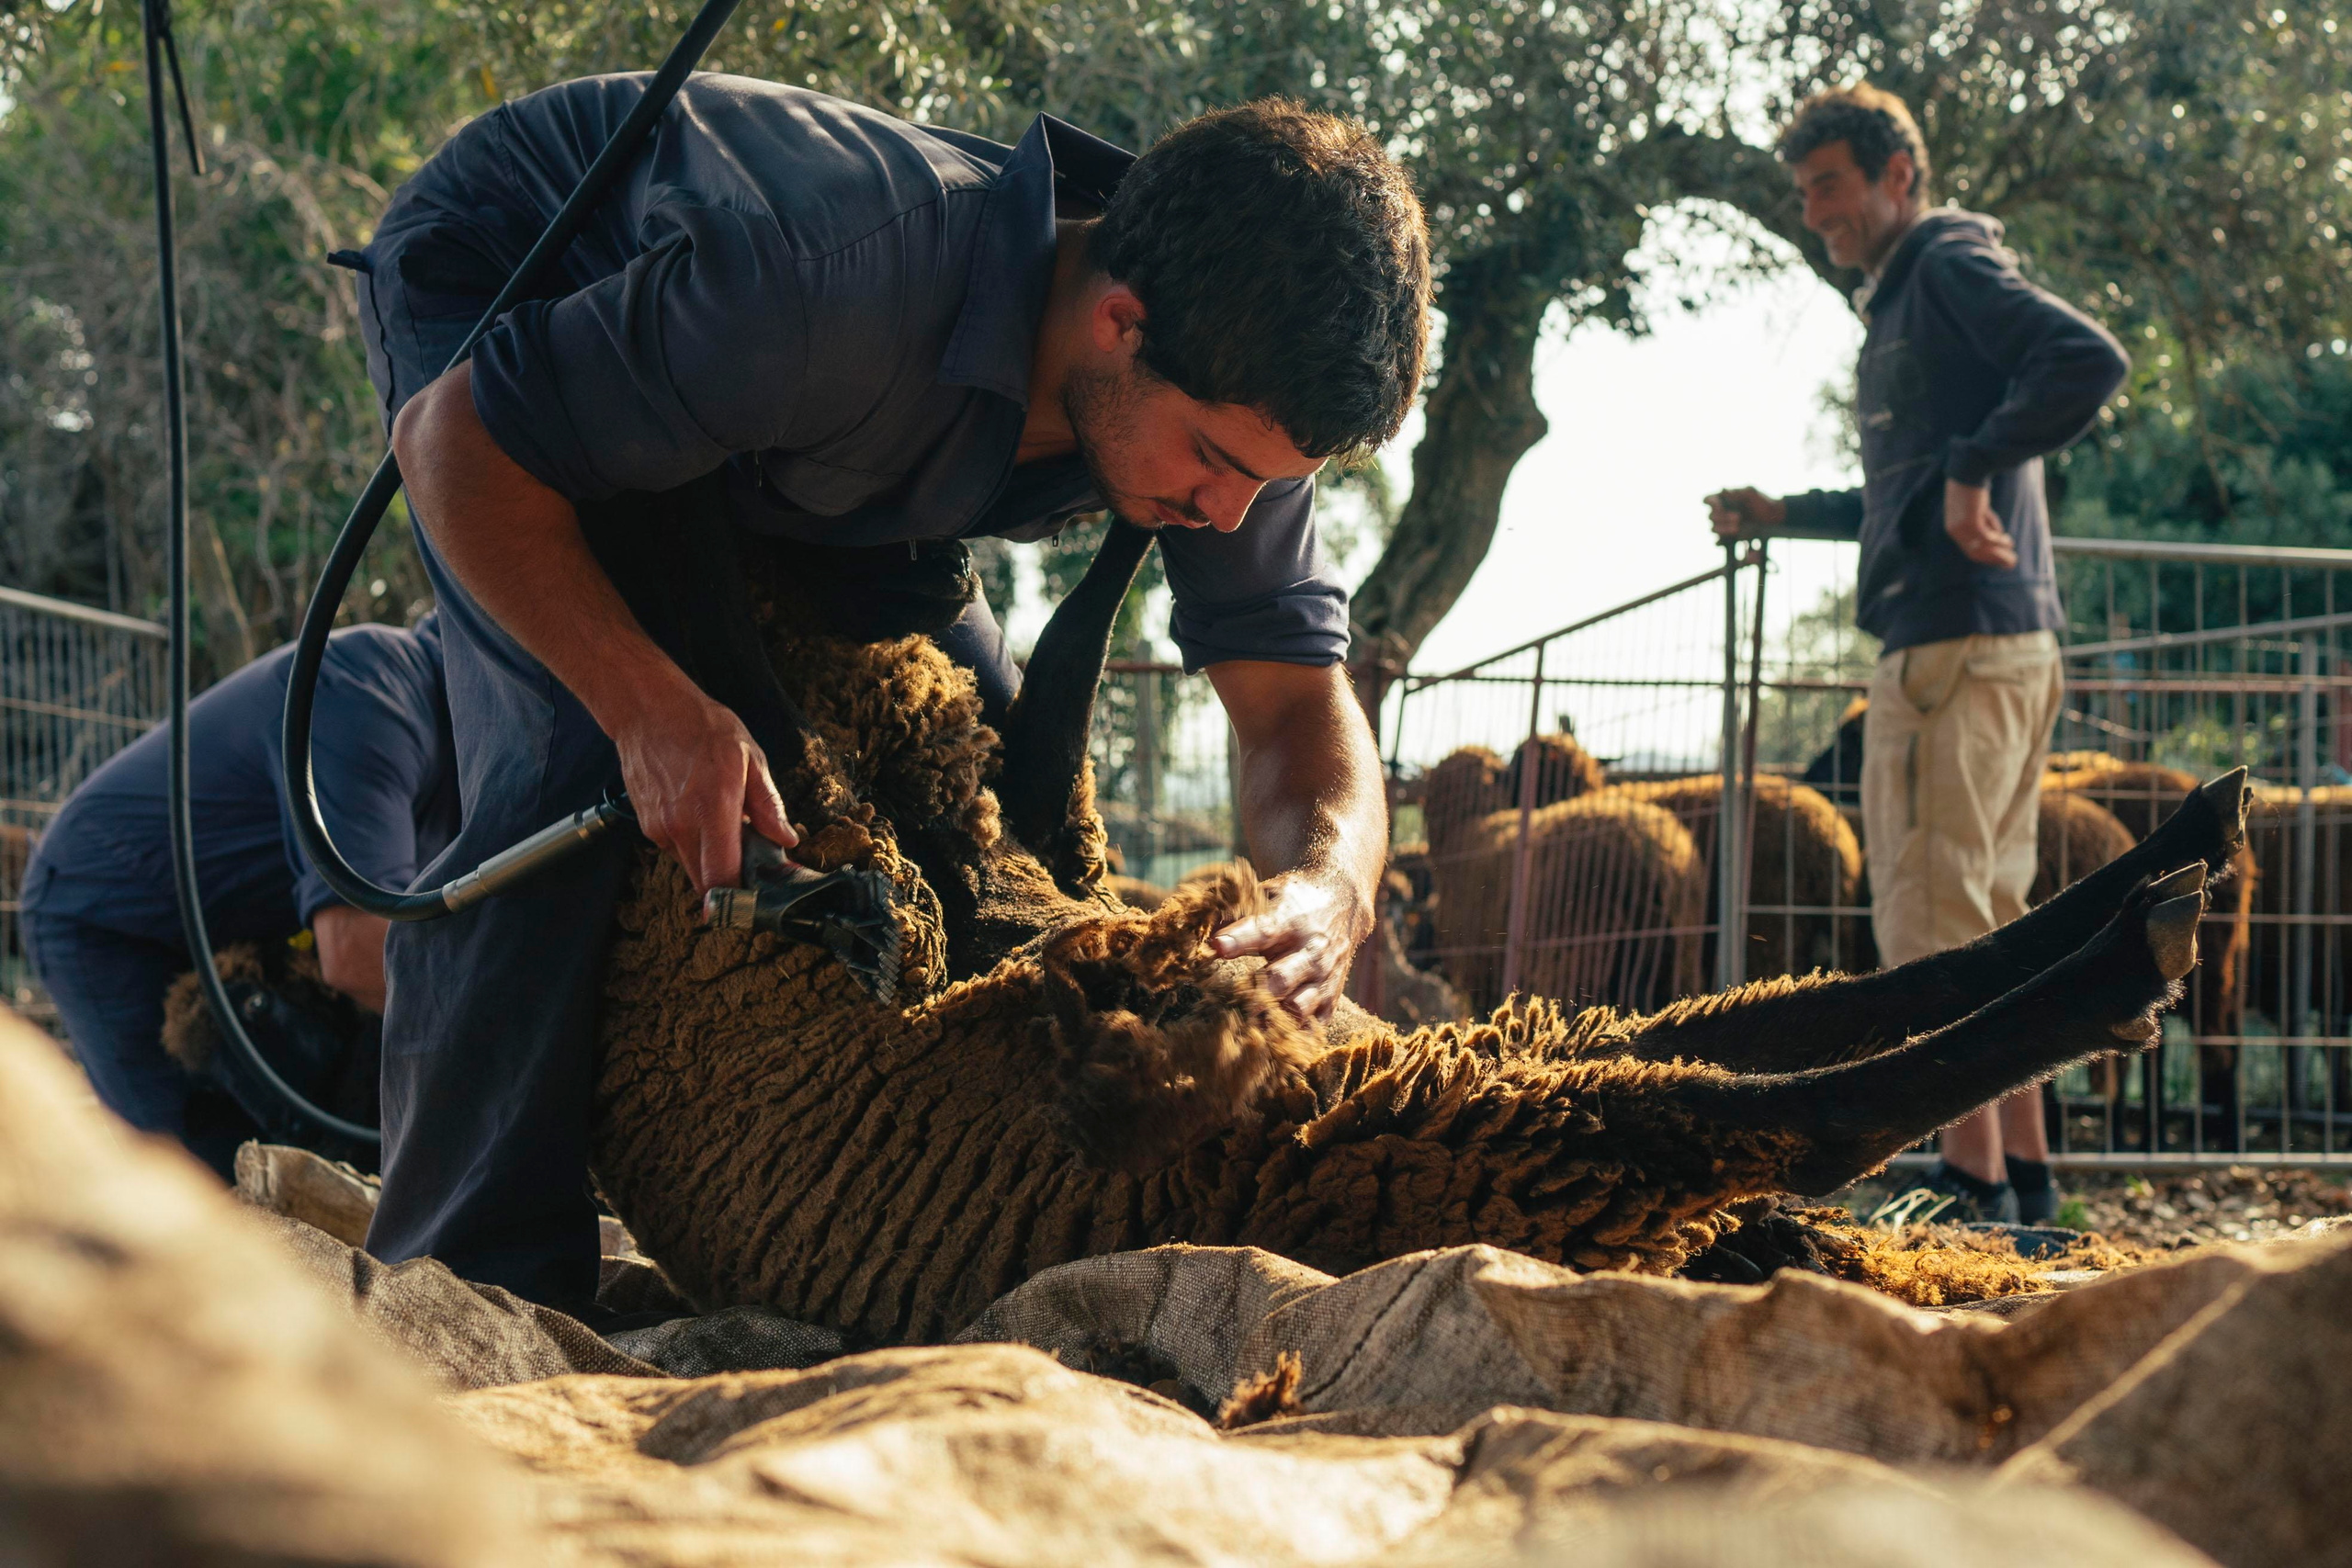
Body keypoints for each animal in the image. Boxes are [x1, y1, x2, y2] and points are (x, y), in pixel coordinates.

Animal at [580, 523, 2251, 1345]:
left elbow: (1041, 710)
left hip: (1433, 1062)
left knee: (1768, 1032)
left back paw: (2177, 858)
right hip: (1401, 1131)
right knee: (1745, 1104)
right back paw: (2139, 942)